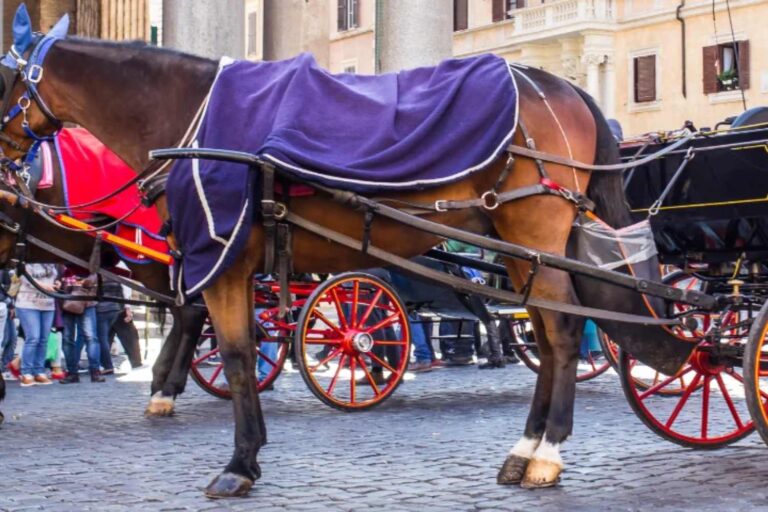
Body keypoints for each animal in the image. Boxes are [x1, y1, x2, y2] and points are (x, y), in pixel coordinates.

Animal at [0, 10, 680, 497]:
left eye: (3, 78)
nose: (11, 167)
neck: (194, 120)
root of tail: (556, 83)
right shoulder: (221, 260)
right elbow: (240, 348)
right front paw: (246, 451)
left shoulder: (221, 256)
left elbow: (239, 354)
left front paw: (239, 462)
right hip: (515, 242)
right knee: (542, 332)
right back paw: (525, 448)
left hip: (534, 229)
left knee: (562, 333)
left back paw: (547, 454)